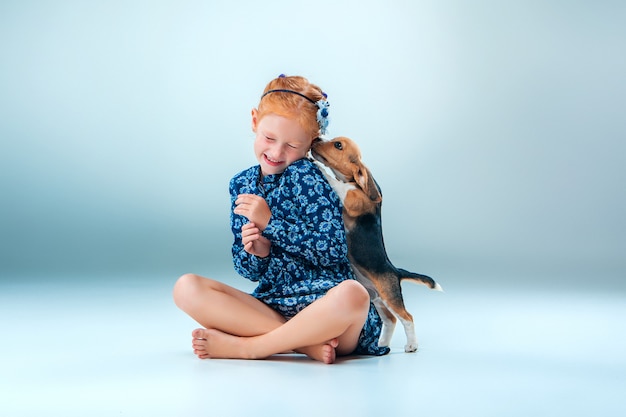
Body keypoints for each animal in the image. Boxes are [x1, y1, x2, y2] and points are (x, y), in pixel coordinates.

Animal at [310, 136, 438, 352]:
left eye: (338, 145)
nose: (317, 138)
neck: (353, 182)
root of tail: (395, 271)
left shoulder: (349, 196)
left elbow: (334, 181)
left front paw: (318, 166)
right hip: (377, 298)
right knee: (390, 321)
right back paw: (381, 344)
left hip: (389, 296)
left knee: (407, 317)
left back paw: (411, 345)